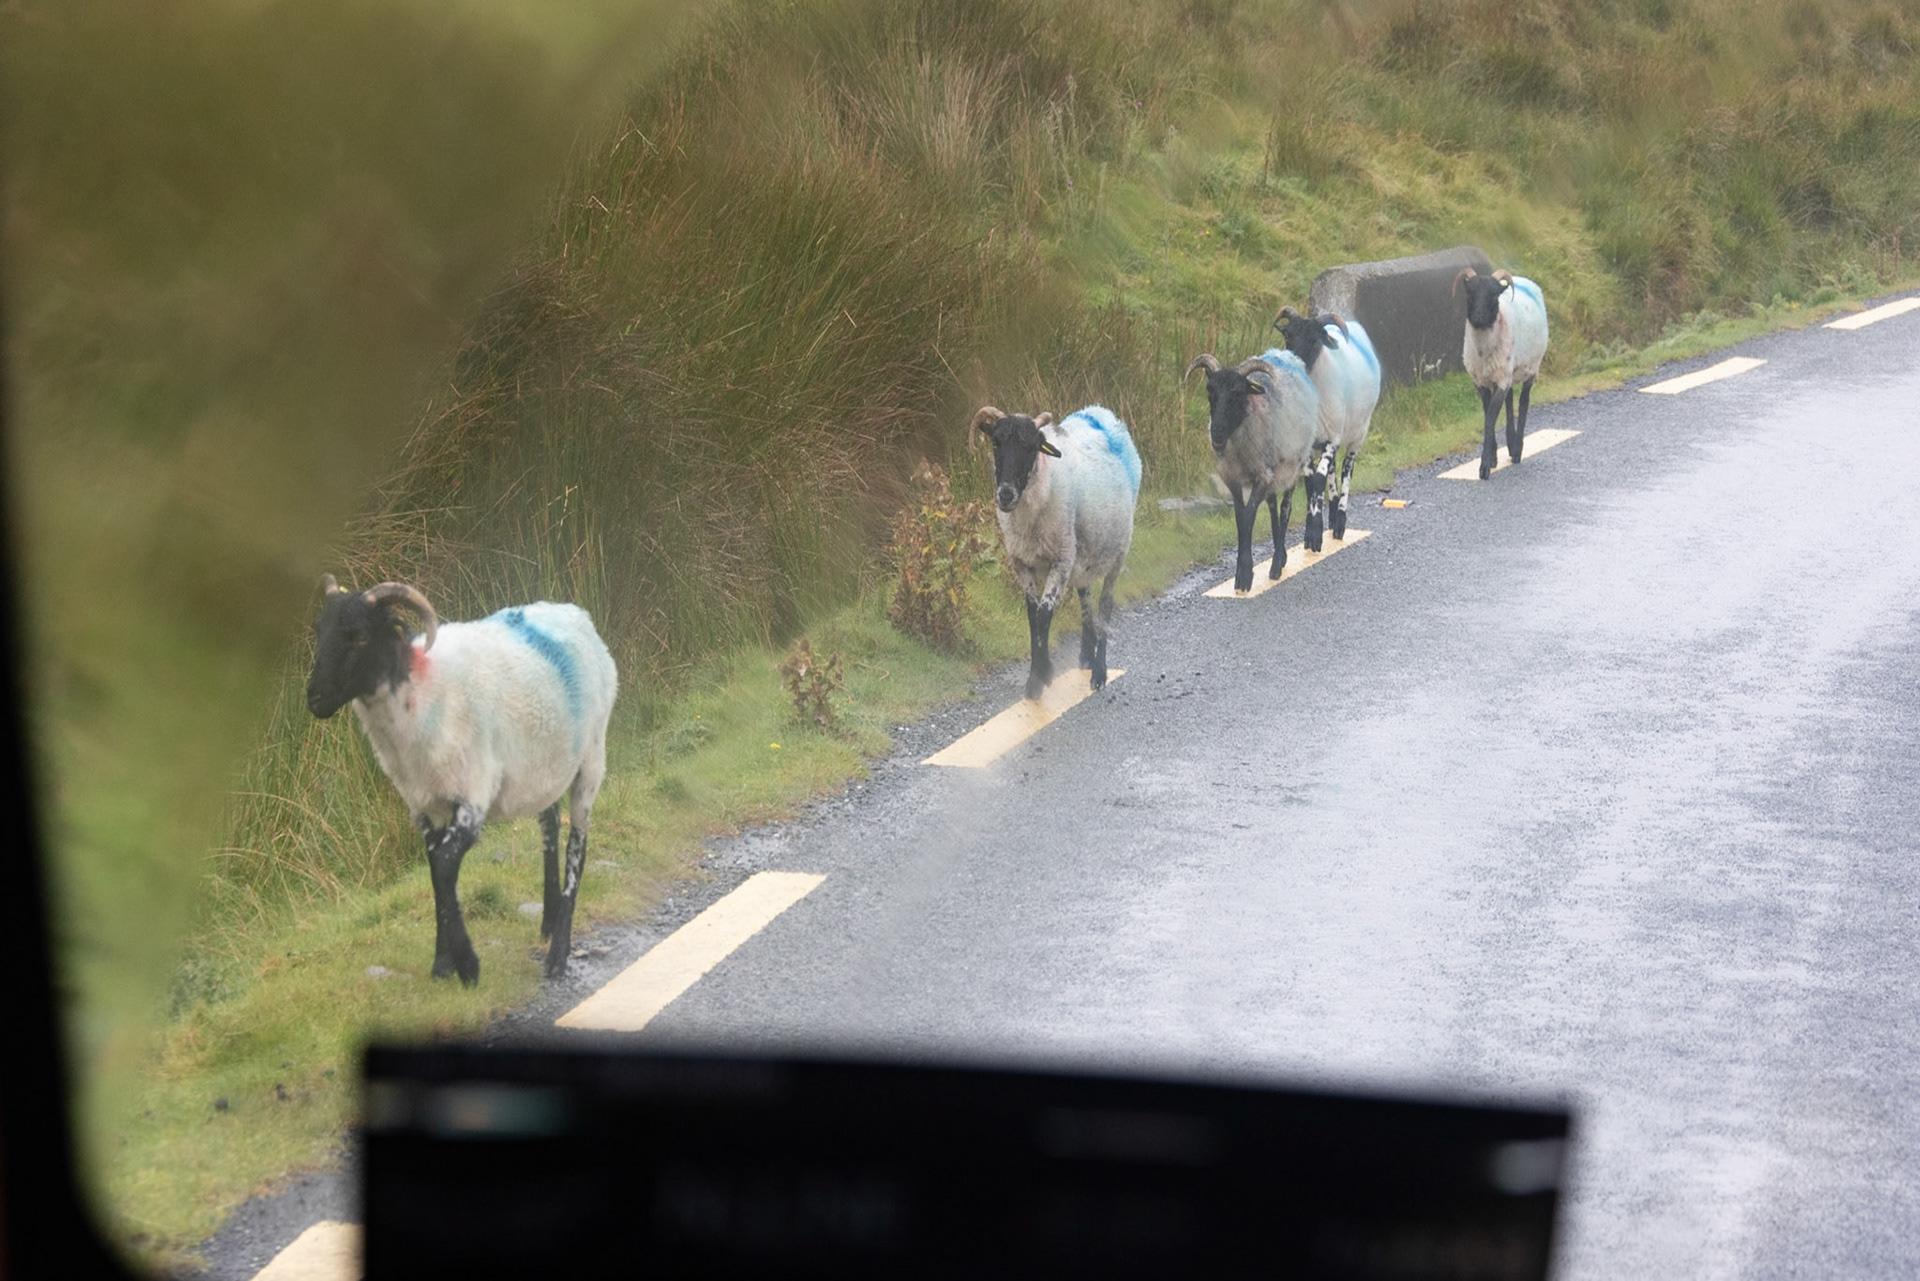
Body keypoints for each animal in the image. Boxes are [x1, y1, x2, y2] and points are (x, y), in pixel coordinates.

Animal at [305, 576, 618, 986]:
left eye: (358, 636)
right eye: (320, 630)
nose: (315, 699)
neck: (420, 692)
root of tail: (576, 613)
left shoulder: (472, 796)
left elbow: (443, 866)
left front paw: (467, 965)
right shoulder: (425, 805)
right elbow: (437, 872)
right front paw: (443, 963)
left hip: (591, 760)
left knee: (576, 844)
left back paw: (558, 954)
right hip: (544, 767)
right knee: (550, 827)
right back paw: (548, 923)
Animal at [971, 404, 1142, 699]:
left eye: (1031, 447)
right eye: (995, 442)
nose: (1005, 494)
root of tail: (1101, 411)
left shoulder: (1060, 560)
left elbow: (1044, 613)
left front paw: (1042, 675)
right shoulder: (1022, 562)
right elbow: (1032, 614)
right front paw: (1035, 678)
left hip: (1117, 551)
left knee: (1105, 604)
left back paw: (1099, 671)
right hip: (1083, 554)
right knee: (1085, 595)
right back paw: (1086, 655)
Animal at [1184, 347, 1321, 593]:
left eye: (1238, 392)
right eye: (1210, 390)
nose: (1216, 432)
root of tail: (1287, 354)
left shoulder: (1262, 475)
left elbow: (1249, 516)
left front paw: (1245, 576)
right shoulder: (1233, 478)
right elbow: (1240, 517)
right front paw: (1242, 572)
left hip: (1293, 461)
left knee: (1285, 508)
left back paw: (1276, 564)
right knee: (1274, 506)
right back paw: (1281, 556)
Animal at [1273, 305, 1382, 551]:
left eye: (1314, 339)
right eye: (1288, 335)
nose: (1294, 365)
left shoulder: (1333, 437)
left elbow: (1319, 480)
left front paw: (1315, 535)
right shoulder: (1308, 443)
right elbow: (1310, 482)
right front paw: (1310, 533)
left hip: (1357, 433)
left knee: (1346, 469)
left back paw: (1339, 520)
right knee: (1330, 471)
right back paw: (1331, 514)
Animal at [1456, 268, 1550, 480]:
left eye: (1493, 295)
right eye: (1470, 293)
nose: (1478, 316)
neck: (1483, 351)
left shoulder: (1500, 380)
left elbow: (1490, 418)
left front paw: (1484, 467)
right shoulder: (1481, 381)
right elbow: (1488, 414)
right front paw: (1492, 458)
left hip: (1530, 368)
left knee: (1523, 402)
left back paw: (1517, 450)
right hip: (1508, 372)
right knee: (1510, 399)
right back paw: (1510, 443)